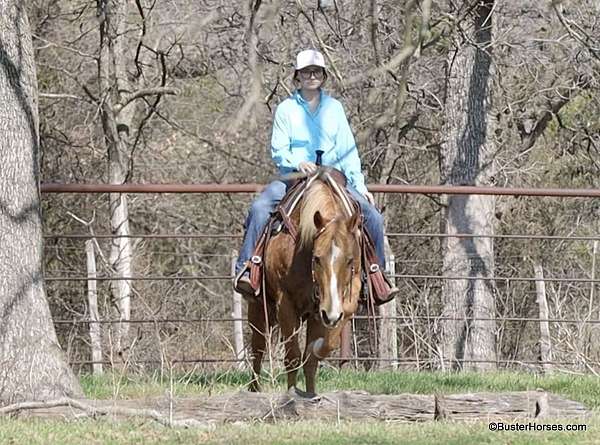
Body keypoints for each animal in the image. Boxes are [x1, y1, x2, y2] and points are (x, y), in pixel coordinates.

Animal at [247, 172, 360, 394]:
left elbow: (314, 354)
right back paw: (254, 390)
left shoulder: (332, 305)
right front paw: (291, 394)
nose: (331, 314)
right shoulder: (285, 303)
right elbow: (292, 356)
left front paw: (311, 393)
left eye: (350, 260)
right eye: (316, 258)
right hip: (258, 307)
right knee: (258, 348)